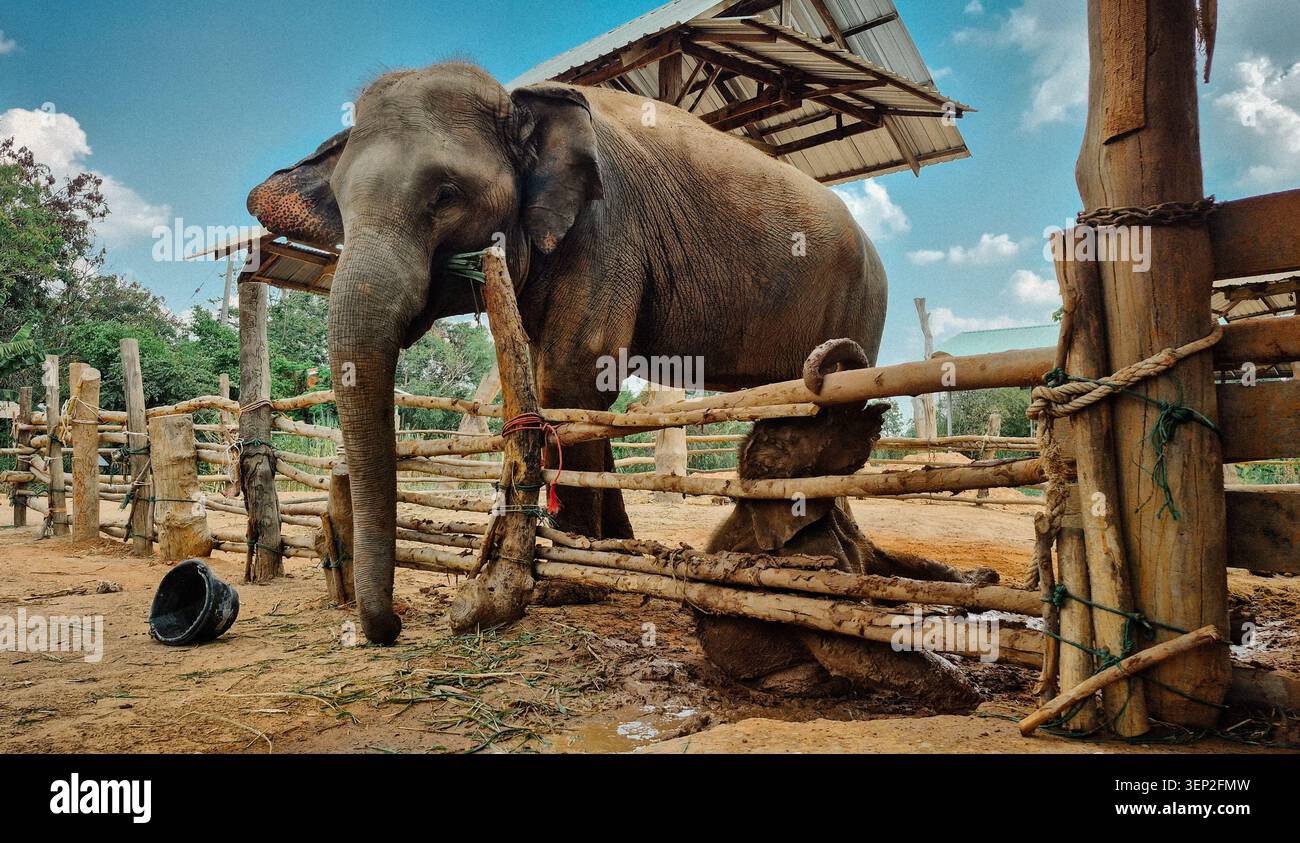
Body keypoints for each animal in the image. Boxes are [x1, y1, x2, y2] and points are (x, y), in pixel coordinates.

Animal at [247, 62, 887, 644]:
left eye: (446, 195)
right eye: (339, 203)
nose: (393, 627)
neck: (517, 98)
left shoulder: (609, 228)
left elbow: (575, 374)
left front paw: (565, 584)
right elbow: (560, 384)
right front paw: (613, 551)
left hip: (860, 304)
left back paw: (832, 557)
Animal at [695, 339, 995, 708]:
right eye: (817, 418)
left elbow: (887, 566)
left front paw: (983, 579)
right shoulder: (798, 560)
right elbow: (845, 636)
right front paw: (978, 696)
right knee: (816, 676)